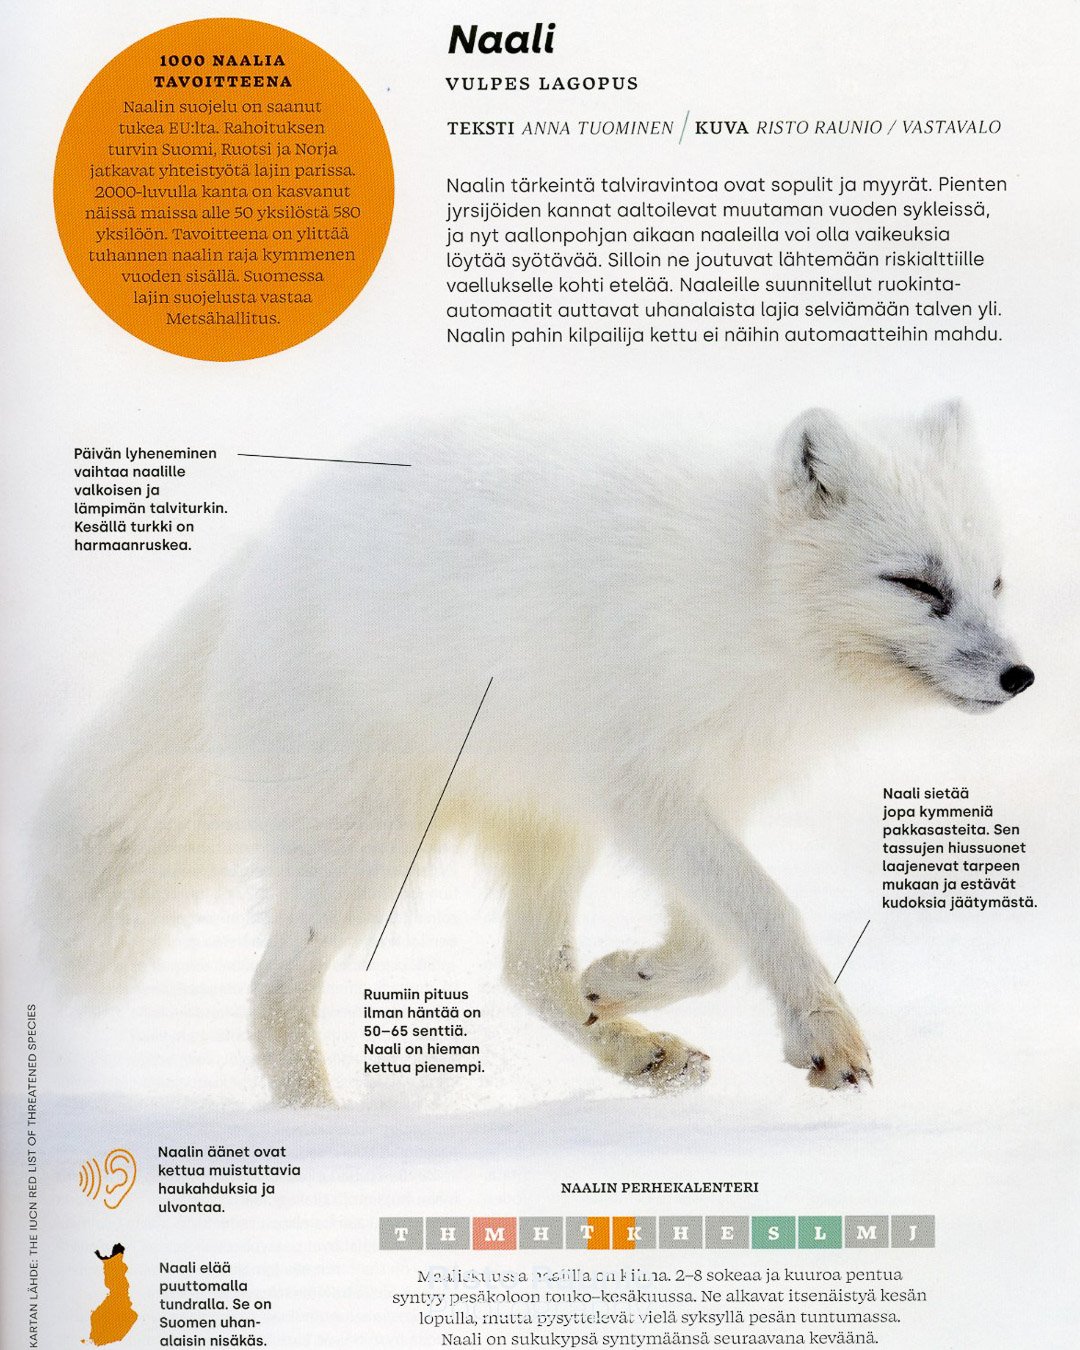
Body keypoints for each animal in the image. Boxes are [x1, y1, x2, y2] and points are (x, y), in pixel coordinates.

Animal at [37, 401, 1033, 1106]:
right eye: (916, 584)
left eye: (993, 582)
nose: (1021, 676)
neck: (750, 598)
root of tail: (262, 555)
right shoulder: (648, 792)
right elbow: (765, 911)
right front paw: (825, 1034)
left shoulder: (698, 796)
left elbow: (714, 943)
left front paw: (622, 980)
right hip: (365, 848)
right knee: (274, 987)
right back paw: (319, 1127)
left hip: (549, 825)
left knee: (525, 968)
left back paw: (635, 1048)